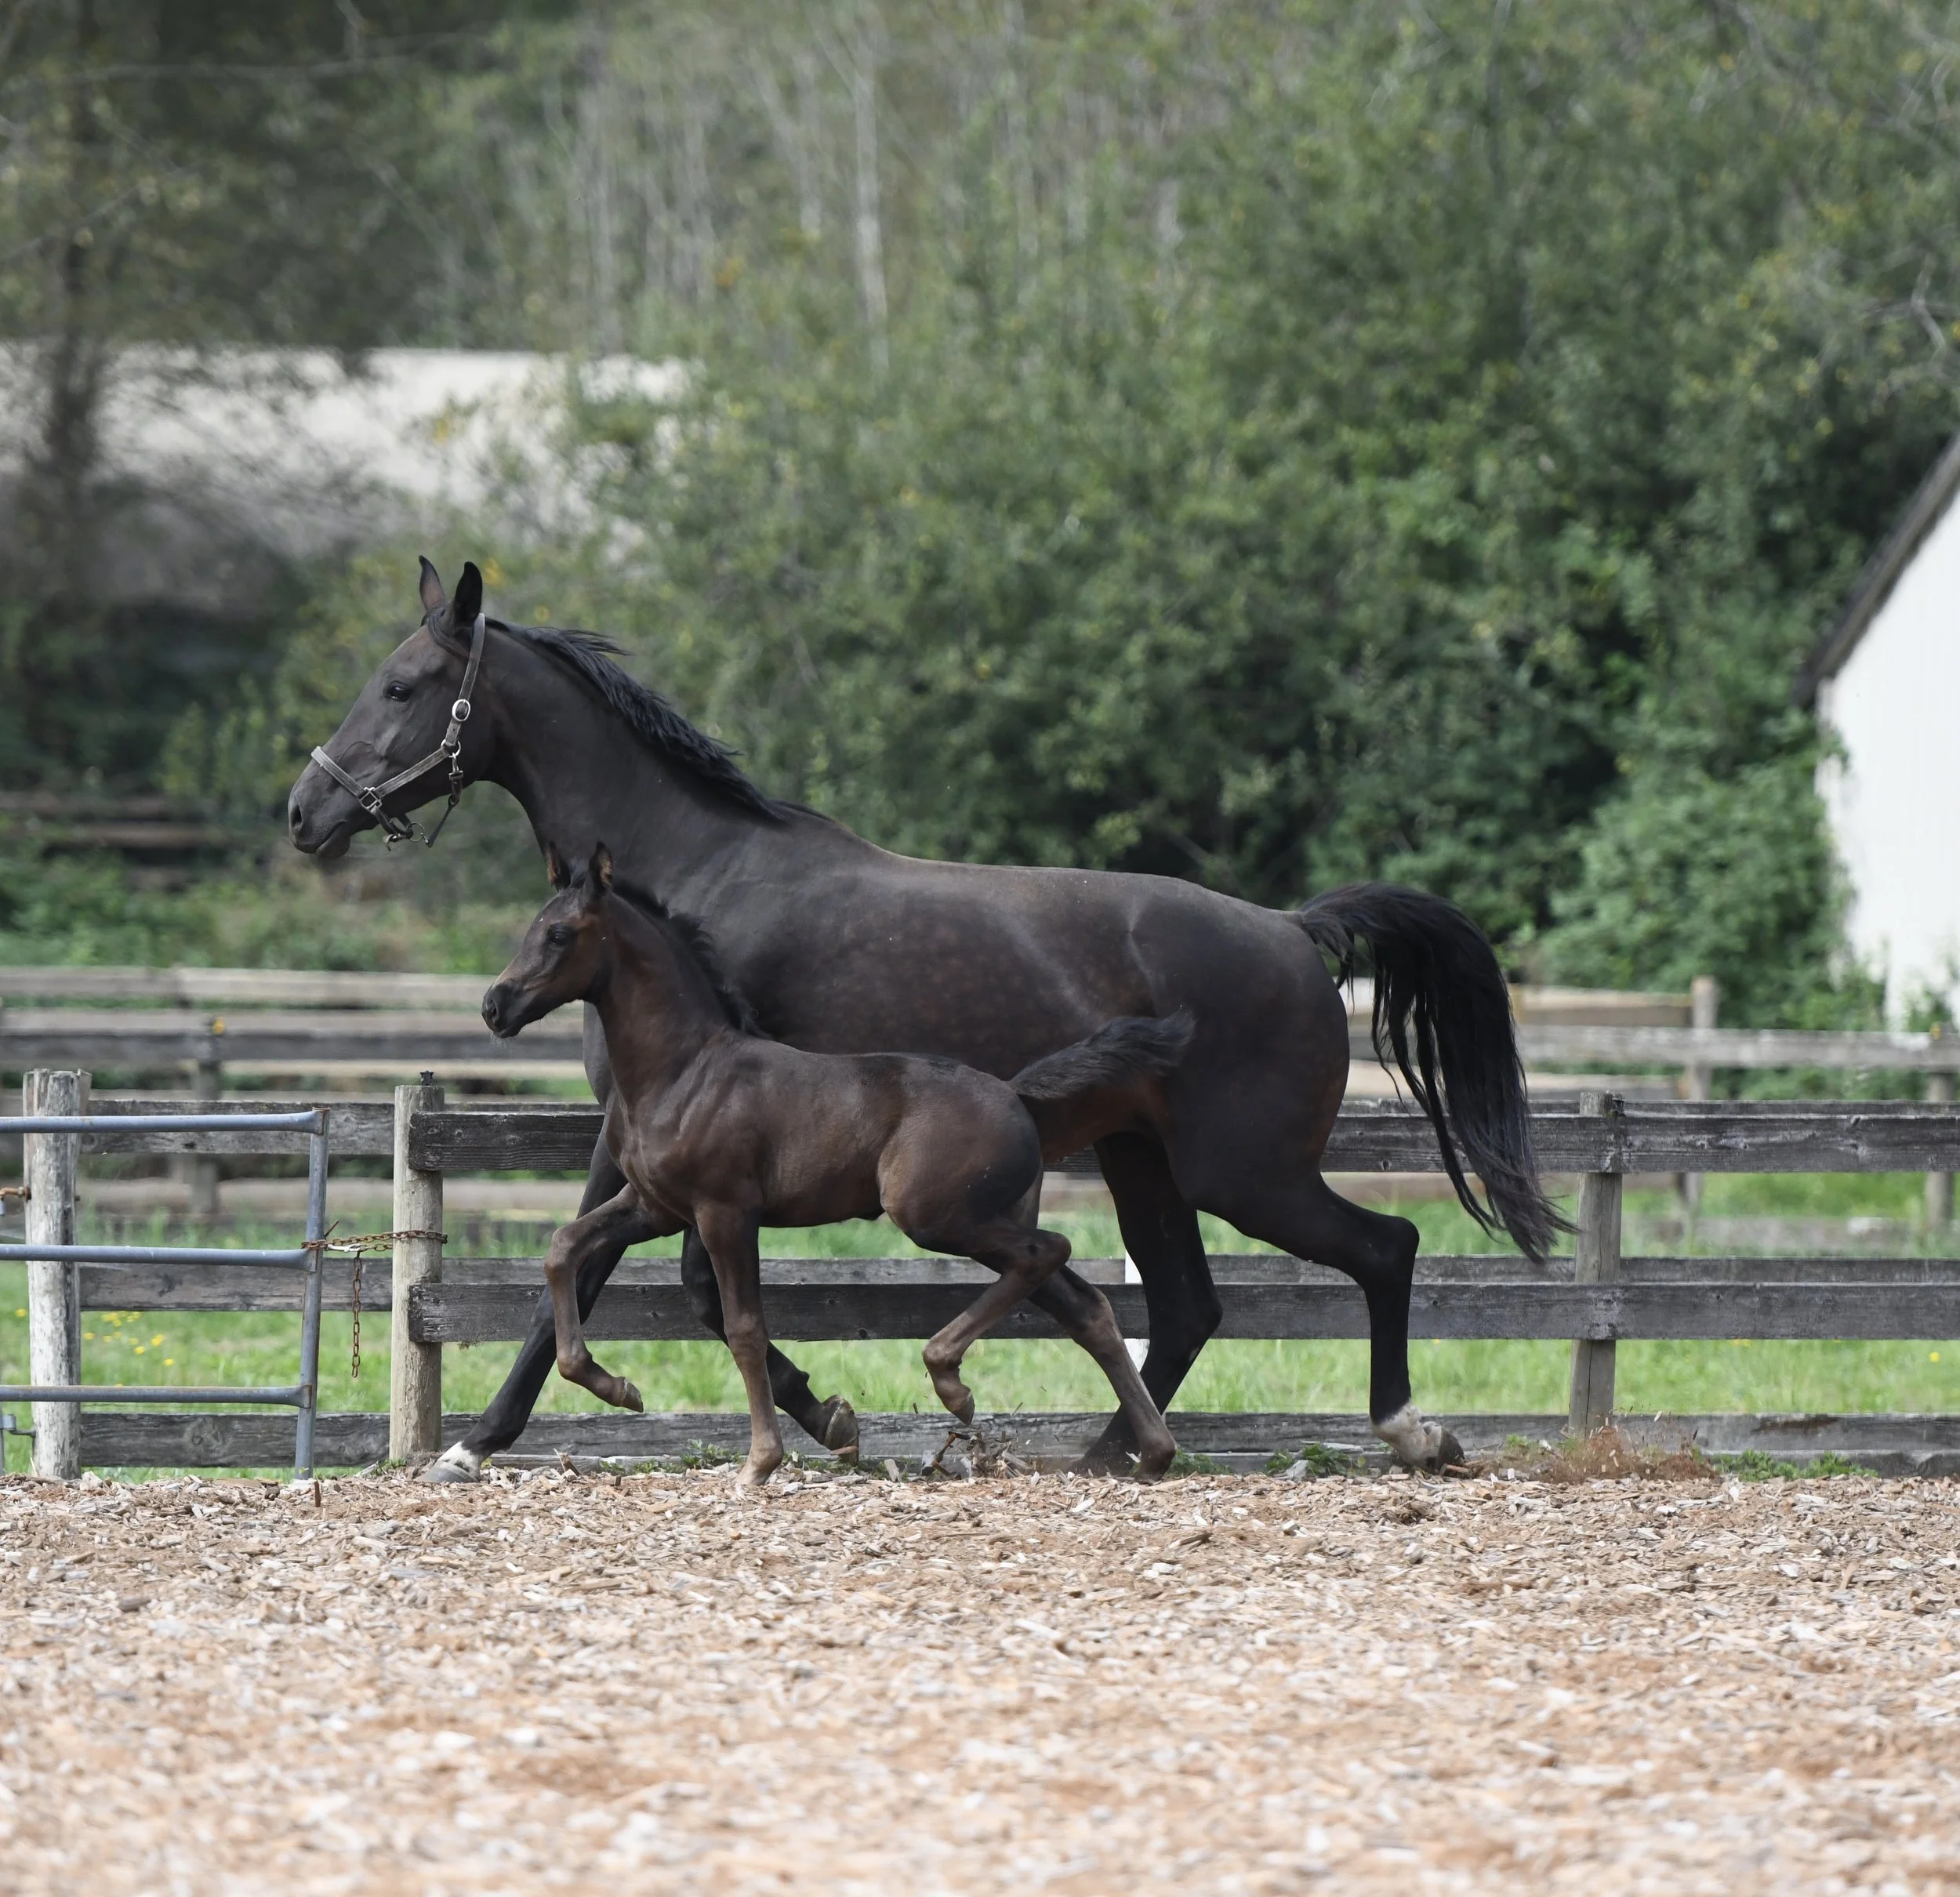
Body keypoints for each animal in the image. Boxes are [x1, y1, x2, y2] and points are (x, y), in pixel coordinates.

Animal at [483, 842, 1195, 1484]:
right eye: (533, 925)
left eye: (558, 934)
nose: (496, 1005)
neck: (686, 1070)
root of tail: (1016, 1095)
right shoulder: (654, 1207)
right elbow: (563, 1247)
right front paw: (617, 1387)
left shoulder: (724, 1213)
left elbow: (745, 1328)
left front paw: (761, 1462)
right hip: (984, 1218)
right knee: (1085, 1304)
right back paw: (1152, 1453)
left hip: (937, 1216)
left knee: (1050, 1251)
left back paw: (952, 1382)